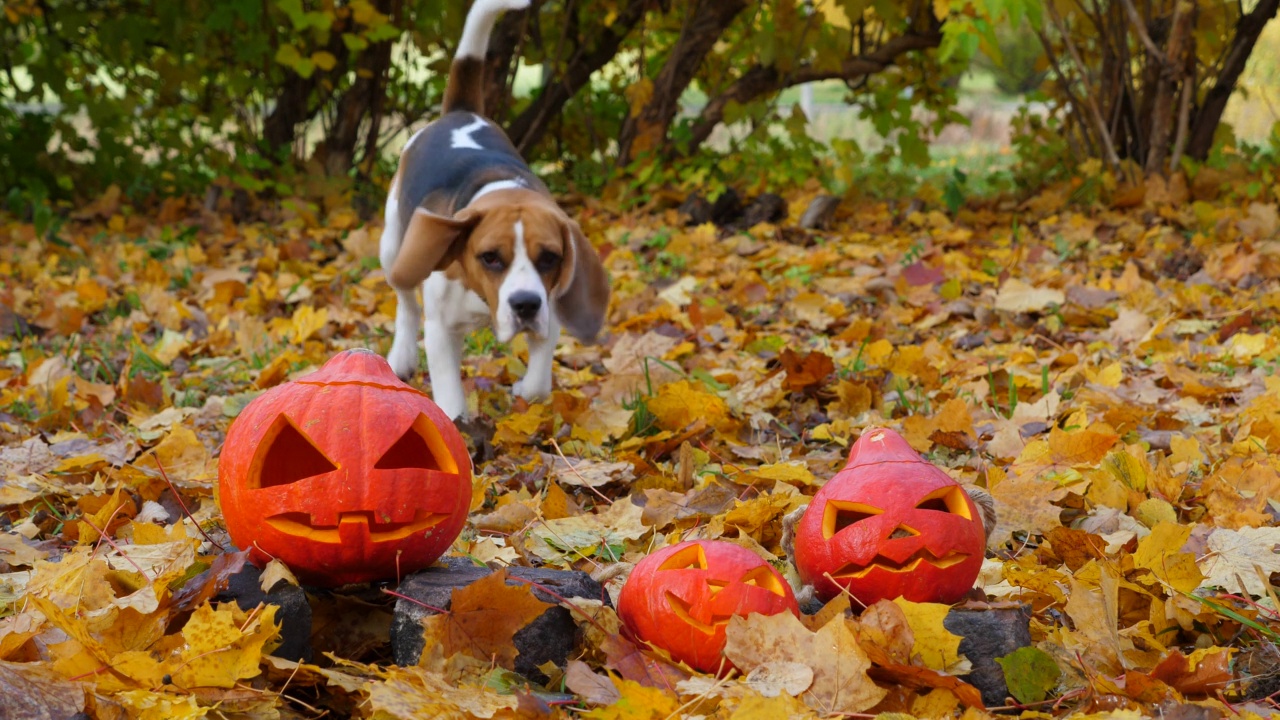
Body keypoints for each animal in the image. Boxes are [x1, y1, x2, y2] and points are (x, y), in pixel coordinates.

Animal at [378, 0, 609, 417]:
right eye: (490, 257)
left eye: (550, 258)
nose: (525, 305)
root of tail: (460, 112)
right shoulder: (441, 330)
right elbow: (450, 399)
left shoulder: (550, 312)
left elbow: (537, 385)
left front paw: (524, 391)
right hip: (394, 249)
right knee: (405, 303)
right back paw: (402, 356)